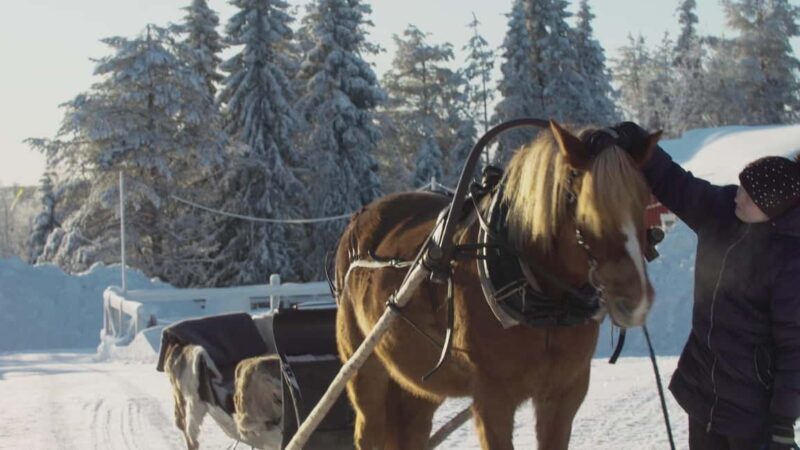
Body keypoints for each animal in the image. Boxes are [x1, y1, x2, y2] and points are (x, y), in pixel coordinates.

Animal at [333, 120, 662, 450]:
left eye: (644, 199)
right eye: (579, 202)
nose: (635, 299)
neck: (544, 306)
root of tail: (358, 219)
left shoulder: (564, 394)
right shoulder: (492, 397)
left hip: (418, 383)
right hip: (366, 370)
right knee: (369, 429)